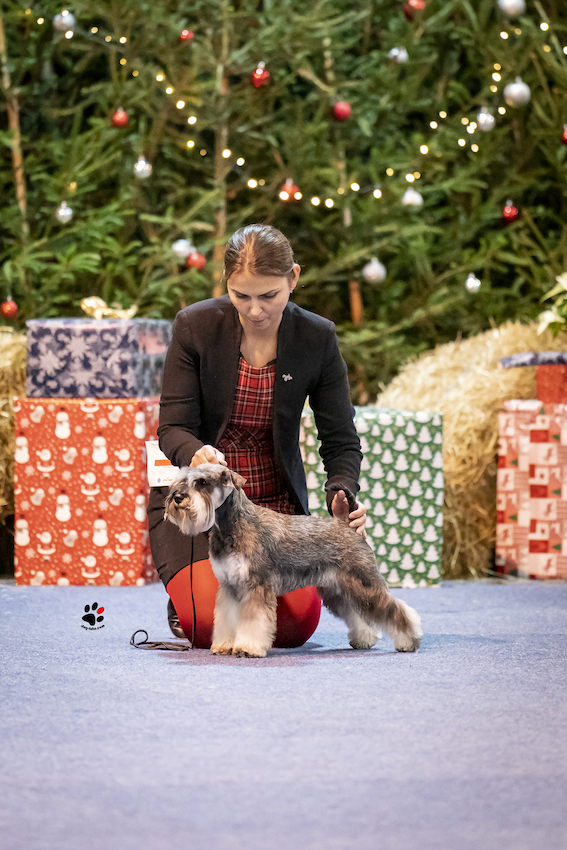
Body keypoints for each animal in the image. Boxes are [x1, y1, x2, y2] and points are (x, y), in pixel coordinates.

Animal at [164, 464, 423, 657]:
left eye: (202, 483)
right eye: (182, 480)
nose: (177, 498)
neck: (232, 525)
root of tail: (347, 525)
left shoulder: (256, 586)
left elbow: (253, 620)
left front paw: (248, 647)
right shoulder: (229, 587)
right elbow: (227, 618)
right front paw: (224, 645)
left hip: (363, 583)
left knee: (394, 609)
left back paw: (408, 641)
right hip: (337, 590)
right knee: (355, 612)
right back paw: (364, 639)